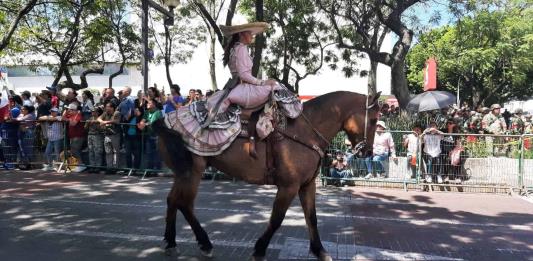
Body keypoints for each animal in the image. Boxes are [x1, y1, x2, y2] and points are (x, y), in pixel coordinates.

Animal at [152, 90, 380, 258]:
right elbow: (277, 219)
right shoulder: (289, 186)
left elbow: (312, 217)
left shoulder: (307, 185)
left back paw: (171, 241)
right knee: (184, 204)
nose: (368, 152)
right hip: (192, 173)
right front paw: (259, 249)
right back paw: (204, 243)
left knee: (173, 200)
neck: (305, 131)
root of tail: (164, 122)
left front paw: (319, 250)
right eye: (373, 120)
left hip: (182, 174)